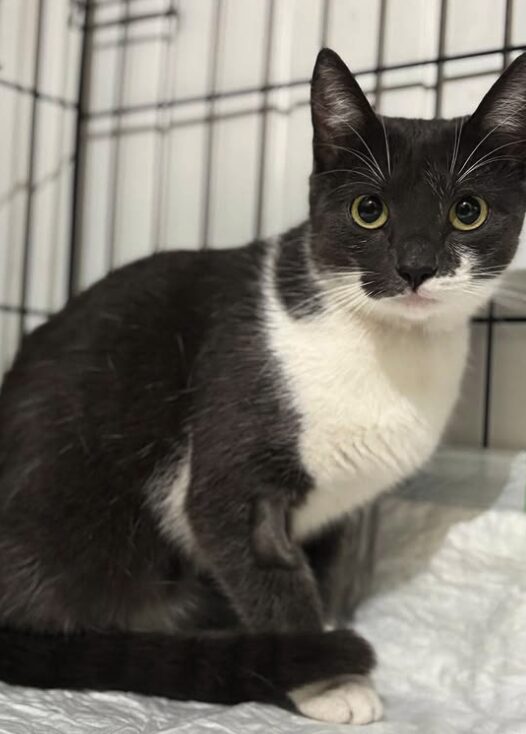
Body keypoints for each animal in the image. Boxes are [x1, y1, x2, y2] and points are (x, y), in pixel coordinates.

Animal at [1, 47, 526, 732]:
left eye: (468, 211)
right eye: (369, 210)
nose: (416, 266)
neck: (390, 352)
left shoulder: (340, 516)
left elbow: (322, 573)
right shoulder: (229, 462)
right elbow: (270, 574)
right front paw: (329, 679)